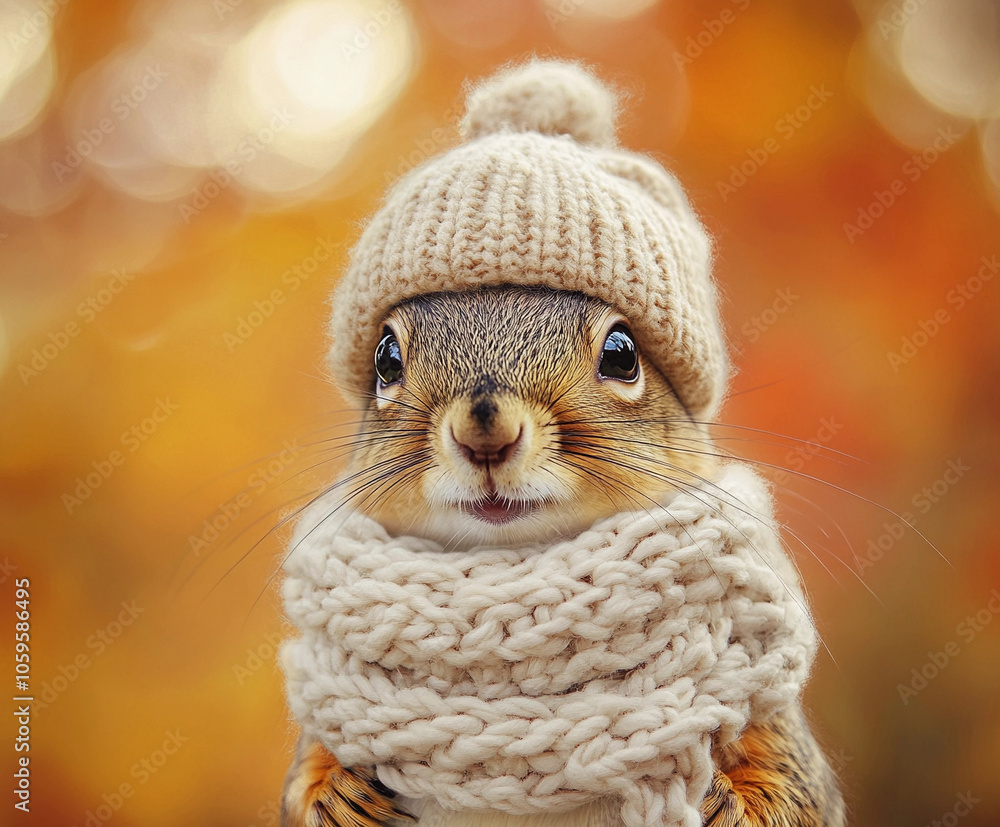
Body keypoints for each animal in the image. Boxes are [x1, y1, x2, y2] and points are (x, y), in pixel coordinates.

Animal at [278, 62, 846, 827]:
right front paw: (333, 792)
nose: (485, 427)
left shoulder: (775, 727)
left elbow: (796, 791)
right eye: (386, 360)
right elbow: (302, 774)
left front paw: (729, 802)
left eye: (622, 353)